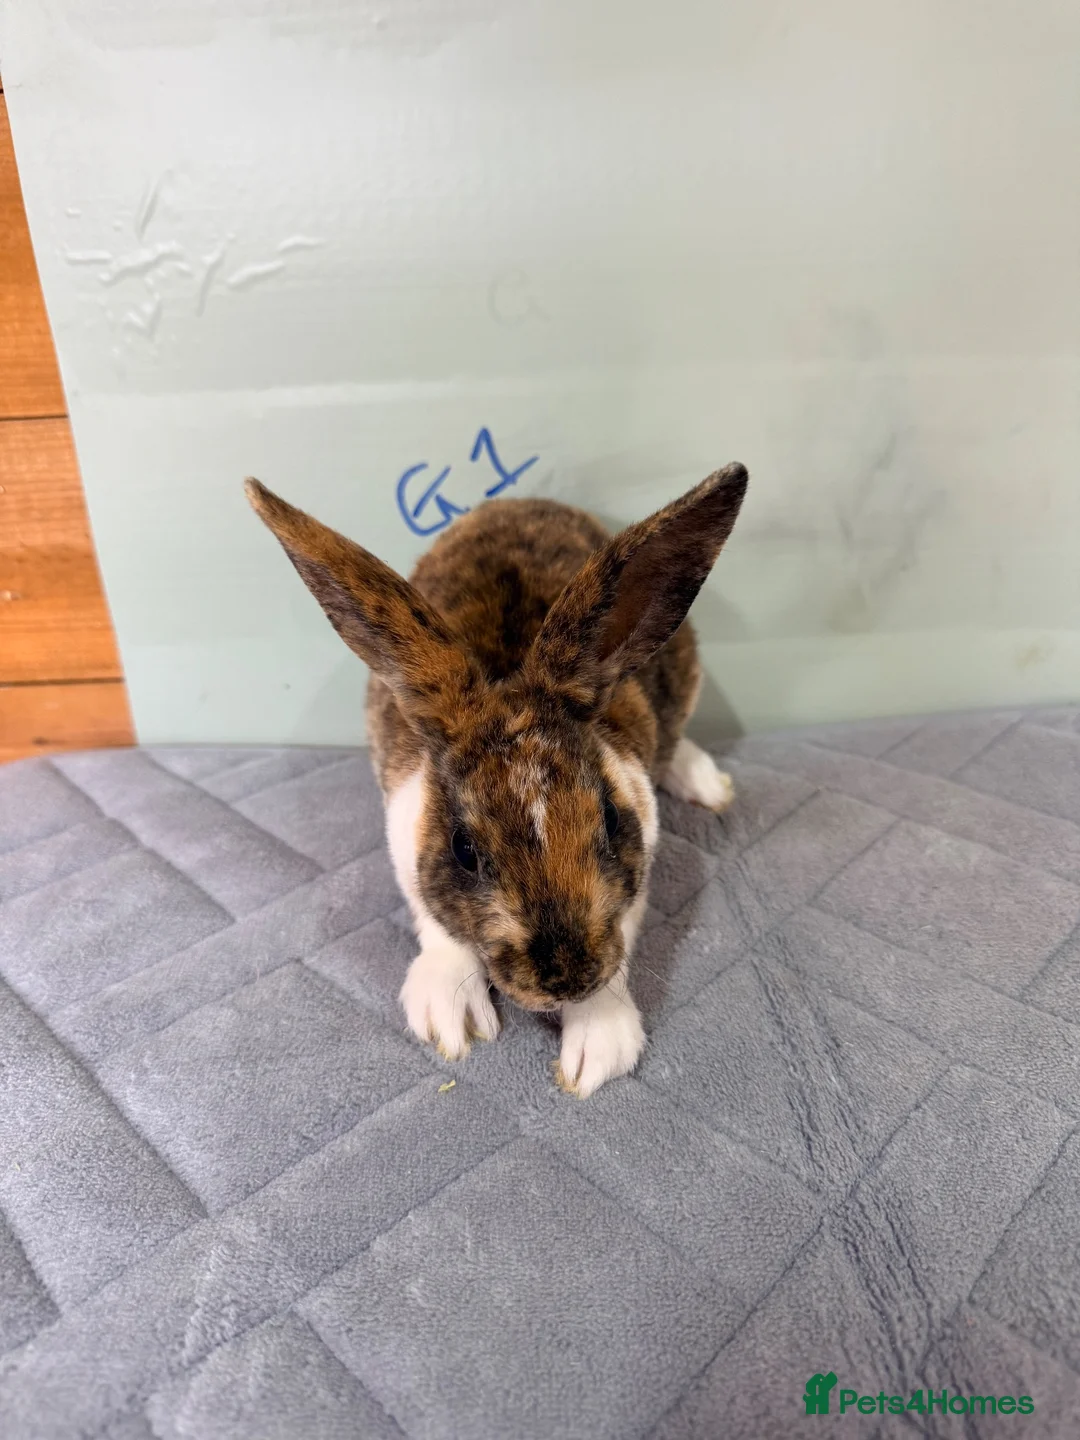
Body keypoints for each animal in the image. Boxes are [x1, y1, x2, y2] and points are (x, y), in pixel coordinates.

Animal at [245, 463, 748, 1096]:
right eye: (465, 851)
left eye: (609, 820)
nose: (565, 980)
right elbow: (437, 928)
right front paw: (450, 1018)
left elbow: (622, 947)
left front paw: (596, 1049)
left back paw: (708, 785)